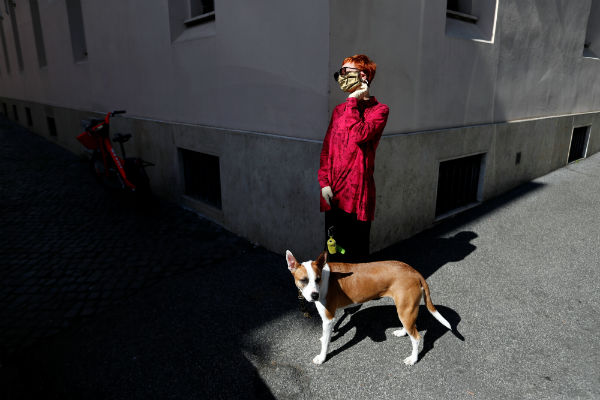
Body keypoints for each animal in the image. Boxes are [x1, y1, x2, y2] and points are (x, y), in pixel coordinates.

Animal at [286, 250, 450, 366]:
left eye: (317, 279)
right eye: (304, 280)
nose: (315, 295)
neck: (326, 277)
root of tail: (414, 271)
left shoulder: (328, 318)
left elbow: (325, 343)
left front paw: (322, 357)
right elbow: (329, 334)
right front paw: (327, 337)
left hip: (406, 310)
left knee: (416, 338)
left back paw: (413, 359)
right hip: (406, 310)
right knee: (410, 326)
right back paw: (402, 332)